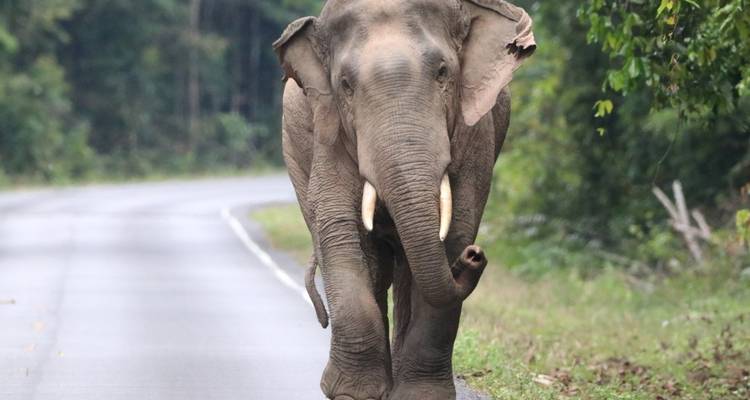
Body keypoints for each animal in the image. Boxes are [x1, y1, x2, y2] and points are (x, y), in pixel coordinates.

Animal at [273, 0, 535, 399]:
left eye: (443, 73)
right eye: (345, 85)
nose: (475, 256)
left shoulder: (478, 131)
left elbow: (457, 227)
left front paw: (420, 395)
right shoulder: (328, 133)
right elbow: (338, 228)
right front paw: (351, 393)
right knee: (374, 265)